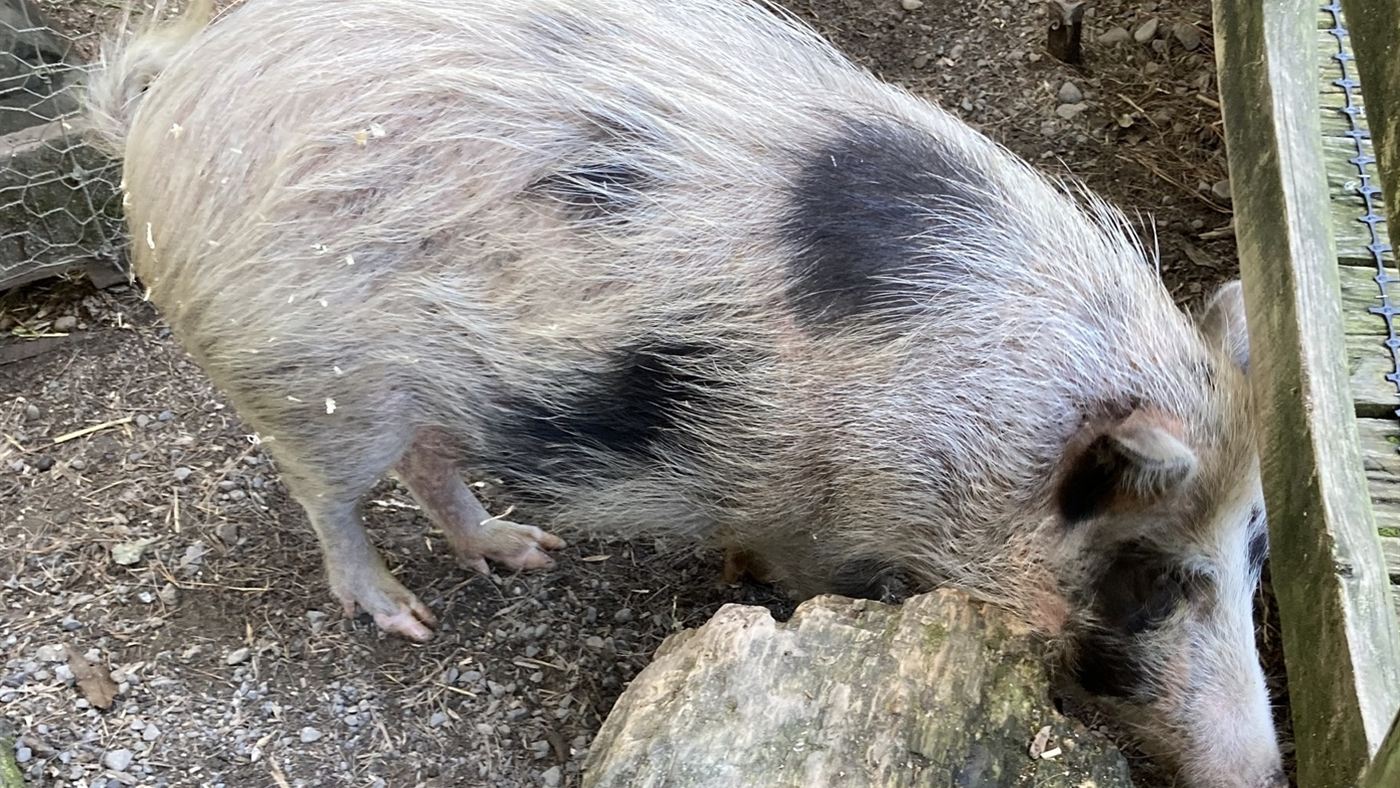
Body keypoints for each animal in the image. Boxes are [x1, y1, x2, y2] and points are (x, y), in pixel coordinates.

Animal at [83, 0, 1284, 784]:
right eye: (1152, 575)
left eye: (1254, 551)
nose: (1265, 769)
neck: (975, 429)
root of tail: (163, 108)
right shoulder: (813, 503)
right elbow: (804, 575)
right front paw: (778, 598)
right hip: (314, 384)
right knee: (327, 500)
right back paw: (405, 617)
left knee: (430, 465)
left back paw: (522, 552)